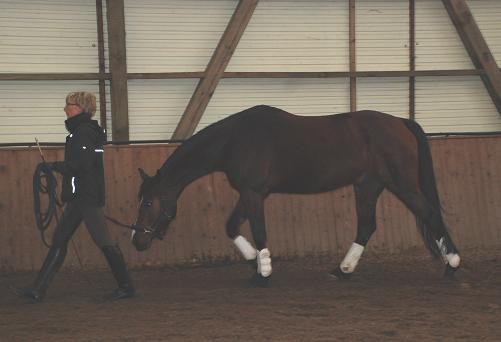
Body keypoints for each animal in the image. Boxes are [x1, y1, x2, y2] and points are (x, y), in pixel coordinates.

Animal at [131, 104, 458, 284]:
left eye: (148, 202)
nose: (137, 241)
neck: (234, 140)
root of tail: (400, 122)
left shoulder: (254, 194)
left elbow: (259, 232)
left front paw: (263, 273)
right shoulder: (249, 194)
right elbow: (232, 226)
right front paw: (254, 262)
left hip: (401, 184)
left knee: (429, 213)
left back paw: (452, 266)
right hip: (367, 186)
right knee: (366, 226)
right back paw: (342, 271)